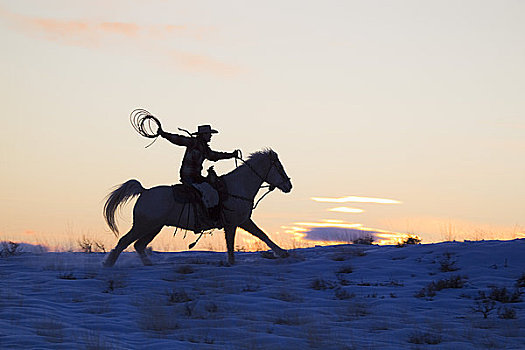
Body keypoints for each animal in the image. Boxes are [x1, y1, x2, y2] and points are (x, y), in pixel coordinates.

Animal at [102, 149, 290, 266]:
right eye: (279, 167)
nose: (289, 186)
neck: (237, 187)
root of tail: (145, 191)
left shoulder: (243, 221)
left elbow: (262, 235)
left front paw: (282, 253)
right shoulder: (233, 224)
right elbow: (234, 244)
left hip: (153, 227)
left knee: (139, 245)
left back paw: (148, 264)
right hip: (143, 225)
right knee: (124, 242)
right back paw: (108, 264)